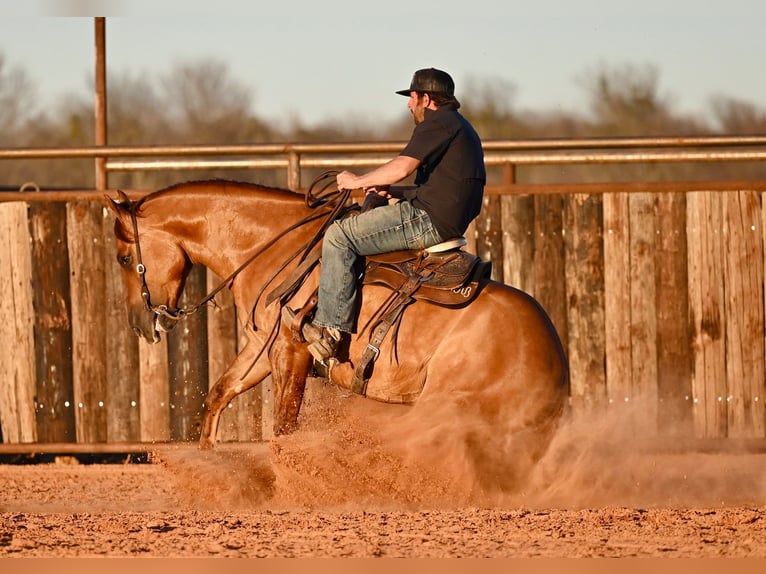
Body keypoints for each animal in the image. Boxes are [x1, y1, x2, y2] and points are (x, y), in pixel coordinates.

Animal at [108, 178, 572, 488]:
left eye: (124, 258)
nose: (139, 324)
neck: (274, 247)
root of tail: (557, 367)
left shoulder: (289, 349)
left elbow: (283, 428)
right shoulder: (261, 348)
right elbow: (220, 394)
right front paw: (208, 467)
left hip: (446, 406)